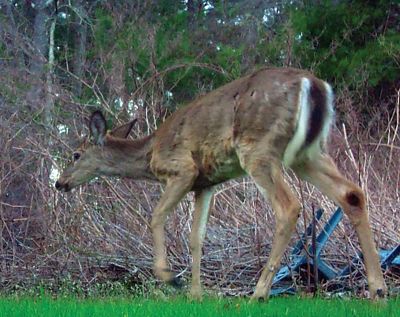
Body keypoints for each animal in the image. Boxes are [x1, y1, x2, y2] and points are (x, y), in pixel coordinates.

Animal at [54, 66, 386, 298]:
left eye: (76, 154)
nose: (60, 183)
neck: (150, 154)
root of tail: (314, 84)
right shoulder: (205, 184)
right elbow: (196, 238)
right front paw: (196, 294)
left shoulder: (182, 170)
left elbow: (156, 216)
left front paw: (170, 277)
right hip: (308, 153)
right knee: (351, 193)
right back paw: (378, 291)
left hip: (258, 148)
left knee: (289, 206)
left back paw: (258, 294)